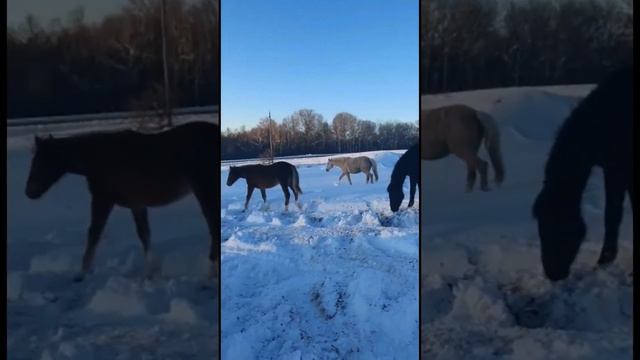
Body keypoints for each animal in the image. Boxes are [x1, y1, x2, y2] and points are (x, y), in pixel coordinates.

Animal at [24, 121, 220, 282]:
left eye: (42, 161)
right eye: (34, 161)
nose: (29, 192)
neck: (98, 158)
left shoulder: (102, 200)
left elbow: (94, 233)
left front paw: (81, 274)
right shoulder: (137, 205)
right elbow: (144, 234)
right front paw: (150, 272)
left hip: (205, 192)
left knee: (213, 229)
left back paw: (209, 274)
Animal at [532, 65, 632, 284]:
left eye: (561, 226)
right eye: (541, 225)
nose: (553, 274)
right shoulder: (613, 169)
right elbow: (612, 214)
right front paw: (605, 261)